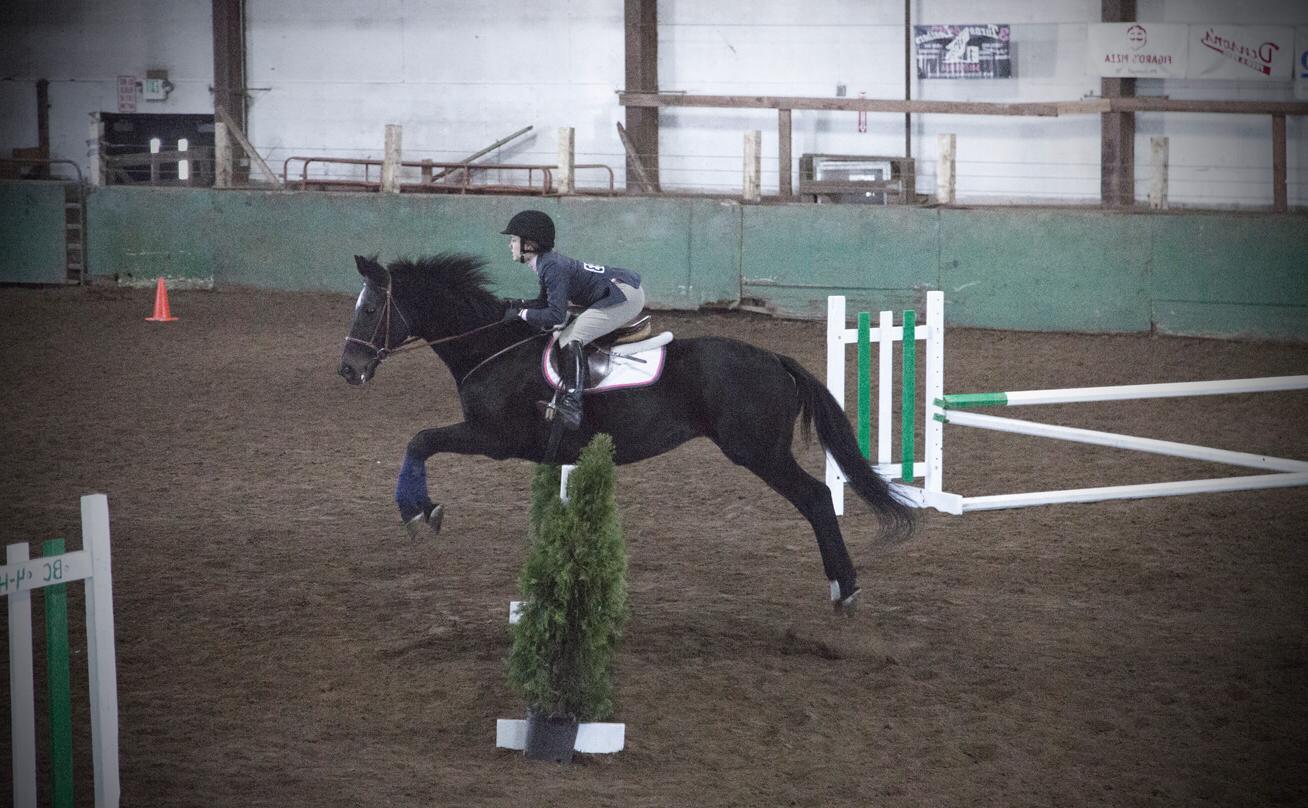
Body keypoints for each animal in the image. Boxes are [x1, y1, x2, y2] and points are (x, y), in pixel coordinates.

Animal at [337, 251, 910, 604]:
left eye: (370, 310)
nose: (348, 369)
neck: (489, 348)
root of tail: (774, 358)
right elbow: (425, 444)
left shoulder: (492, 439)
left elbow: (420, 440)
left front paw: (418, 510)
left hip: (759, 452)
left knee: (816, 497)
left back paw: (845, 587)